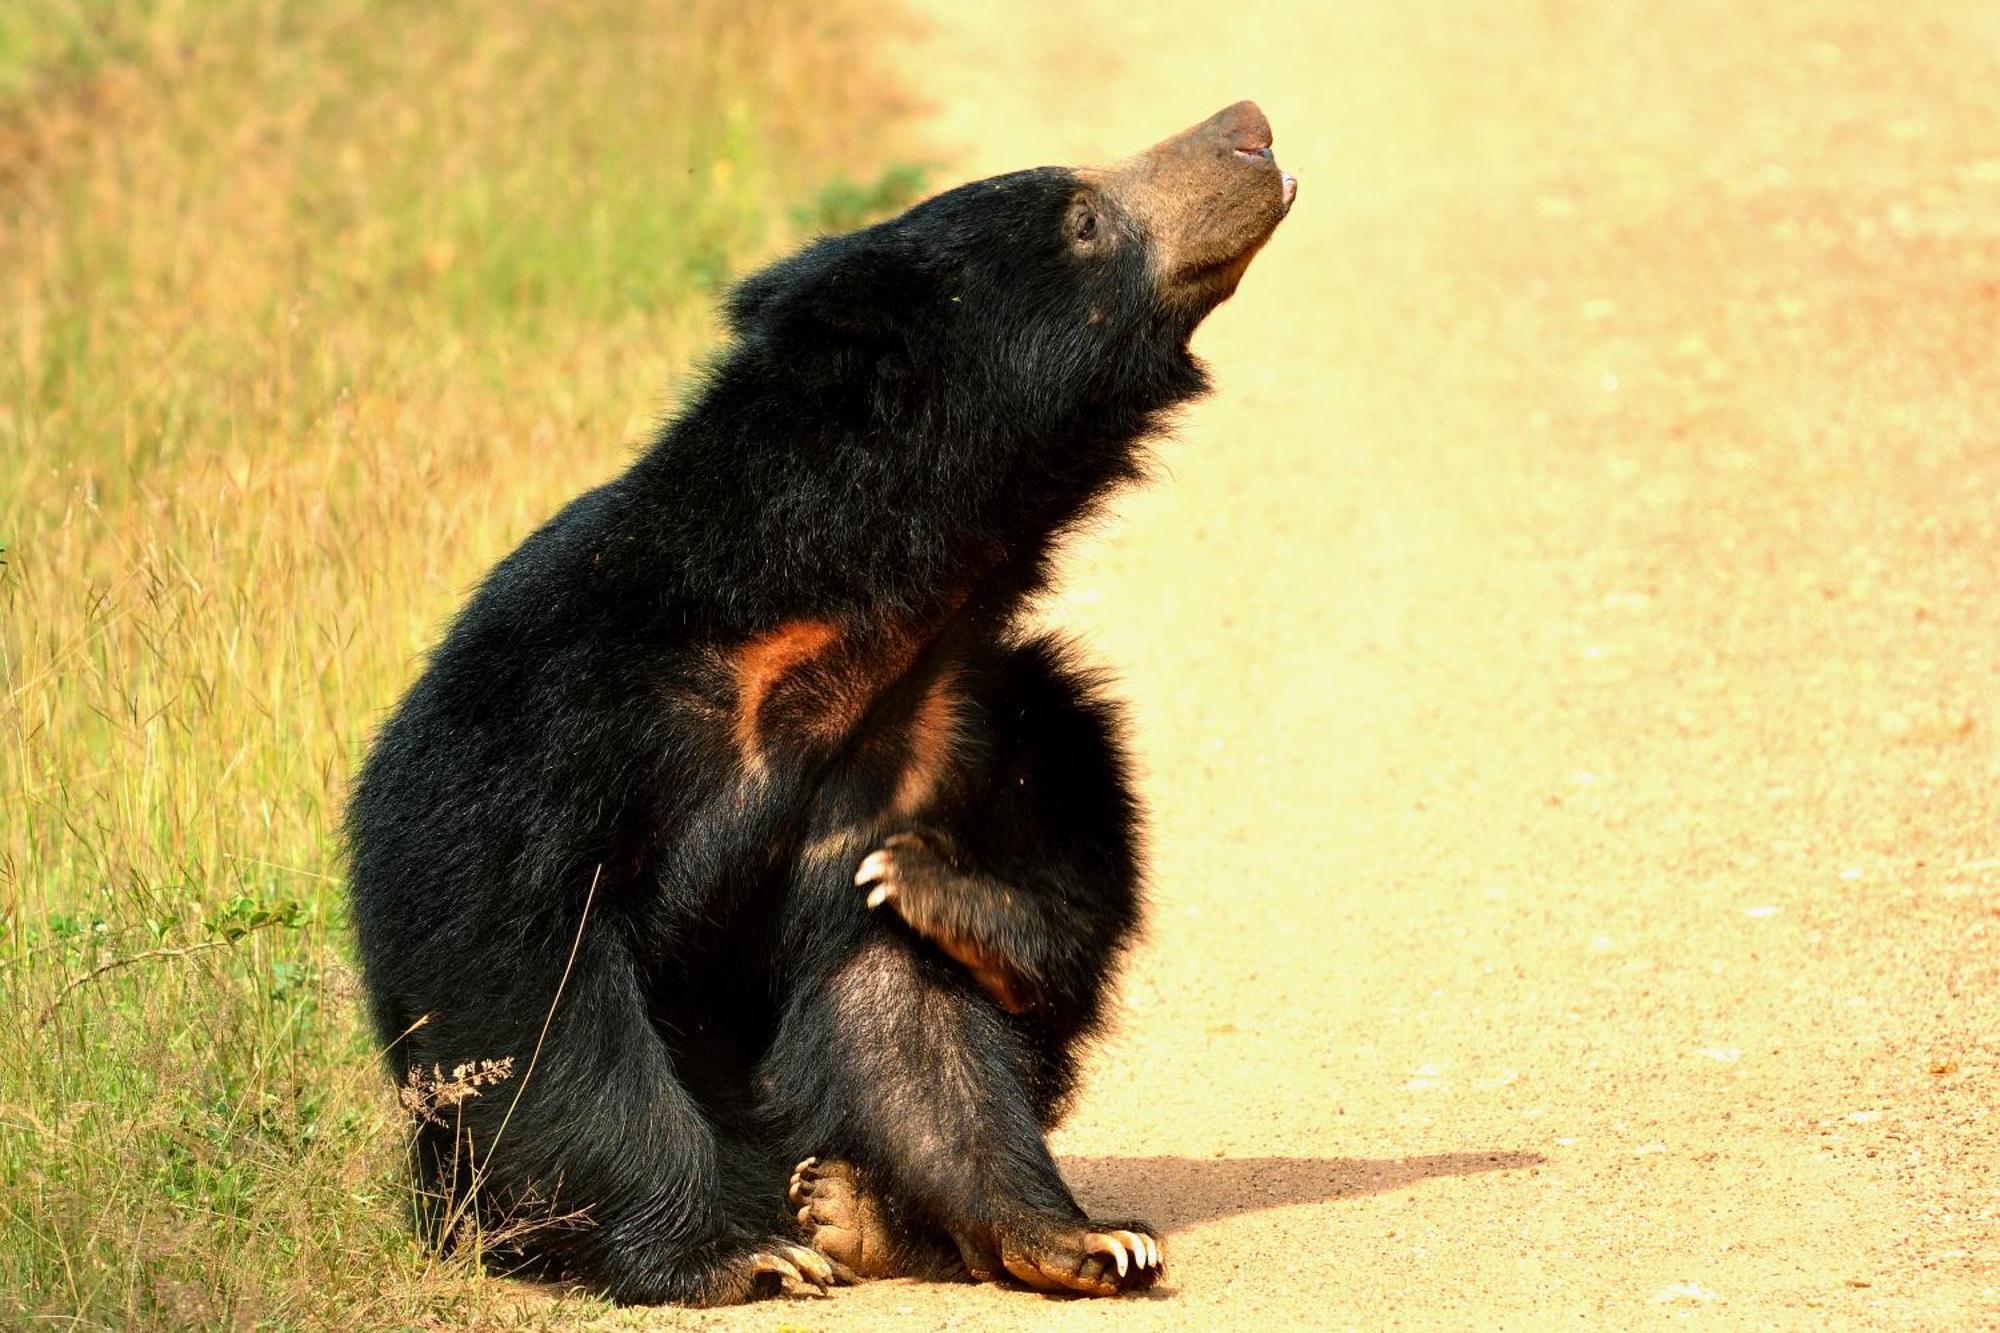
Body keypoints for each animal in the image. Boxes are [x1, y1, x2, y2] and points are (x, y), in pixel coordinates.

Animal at [348, 101, 1296, 1296]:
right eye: (1081, 218)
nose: (1251, 129)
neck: (855, 616)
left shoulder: (939, 725)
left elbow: (906, 988)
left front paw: (1078, 1235)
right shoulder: (555, 706)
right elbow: (520, 967)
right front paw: (732, 1252)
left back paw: (863, 1207)